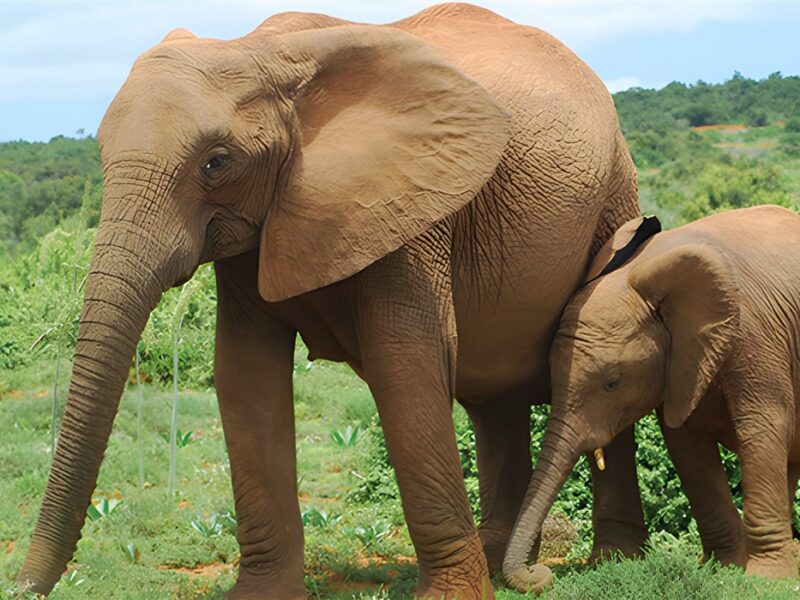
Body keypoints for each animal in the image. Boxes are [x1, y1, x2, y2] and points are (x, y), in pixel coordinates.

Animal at [17, 4, 642, 599]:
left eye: (216, 162)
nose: (23, 587)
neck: (260, 50)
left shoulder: (408, 206)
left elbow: (404, 364)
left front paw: (451, 596)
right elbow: (244, 373)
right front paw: (260, 596)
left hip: (616, 194)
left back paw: (610, 563)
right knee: (494, 402)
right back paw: (503, 560)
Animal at [503, 204, 800, 593]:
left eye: (612, 383)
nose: (539, 573)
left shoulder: (755, 333)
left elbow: (761, 428)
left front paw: (764, 582)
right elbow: (686, 446)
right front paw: (723, 569)